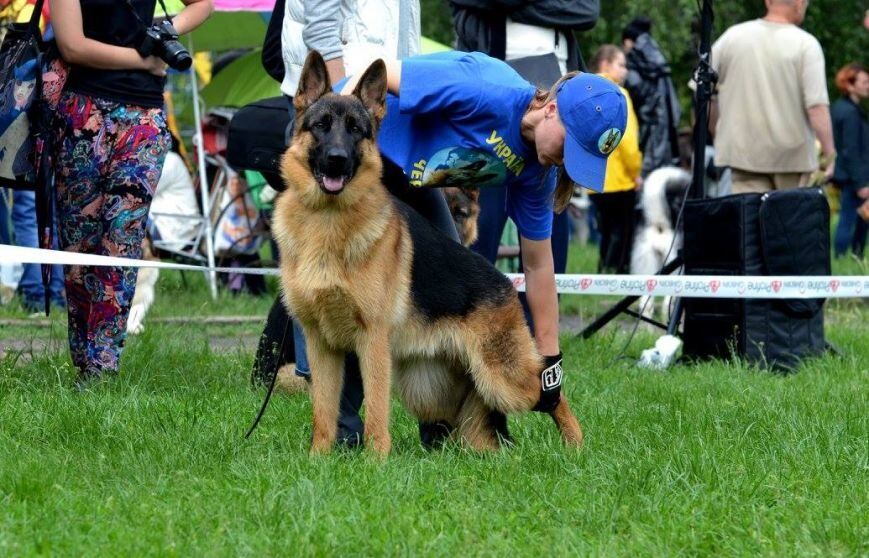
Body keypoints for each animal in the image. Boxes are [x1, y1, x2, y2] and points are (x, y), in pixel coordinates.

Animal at [272, 50, 584, 458]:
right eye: (322, 125)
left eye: (356, 129)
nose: (337, 159)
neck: (327, 220)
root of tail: (506, 284)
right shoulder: (321, 345)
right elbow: (323, 412)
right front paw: (319, 459)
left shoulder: (372, 341)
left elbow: (376, 410)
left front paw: (375, 460)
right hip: (435, 390)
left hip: (501, 378)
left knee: (551, 395)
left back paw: (577, 445)